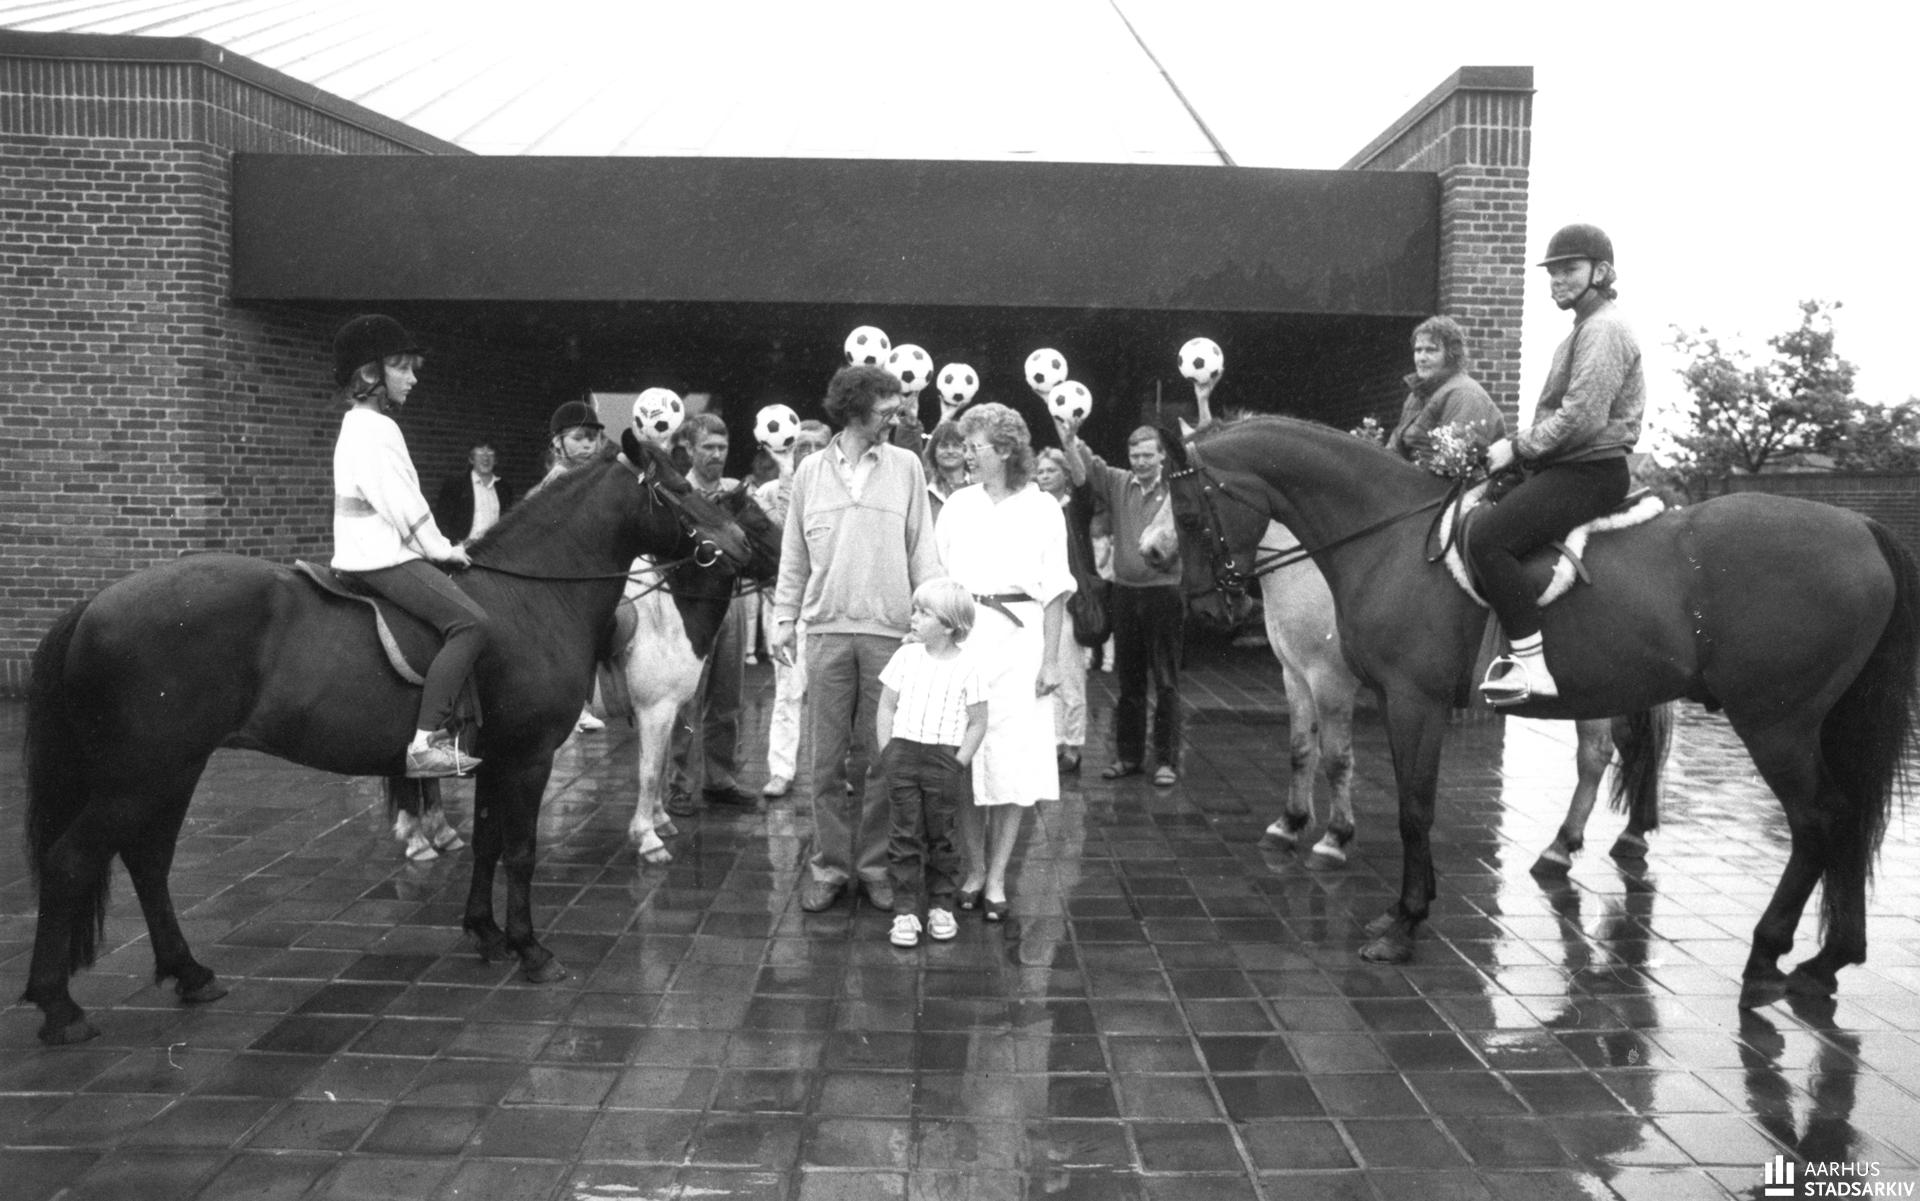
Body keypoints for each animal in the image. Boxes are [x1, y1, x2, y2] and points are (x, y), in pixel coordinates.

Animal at [20, 433, 753, 1045]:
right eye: (677, 487)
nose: (741, 543)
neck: (530, 599)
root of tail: (95, 604)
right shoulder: (530, 757)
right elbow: (520, 851)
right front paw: (530, 950)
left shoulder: (493, 759)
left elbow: (487, 842)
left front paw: (485, 933)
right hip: (139, 777)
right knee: (70, 861)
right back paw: (59, 1007)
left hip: (172, 771)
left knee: (148, 861)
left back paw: (189, 972)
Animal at [1145, 514, 1672, 875]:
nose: (1149, 549)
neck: (1318, 566)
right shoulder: (1294, 675)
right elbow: (1299, 750)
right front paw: (1288, 824)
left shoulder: (1330, 679)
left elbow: (1337, 757)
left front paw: (1334, 838)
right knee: (1633, 745)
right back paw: (1631, 835)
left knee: (1596, 753)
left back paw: (1561, 847)